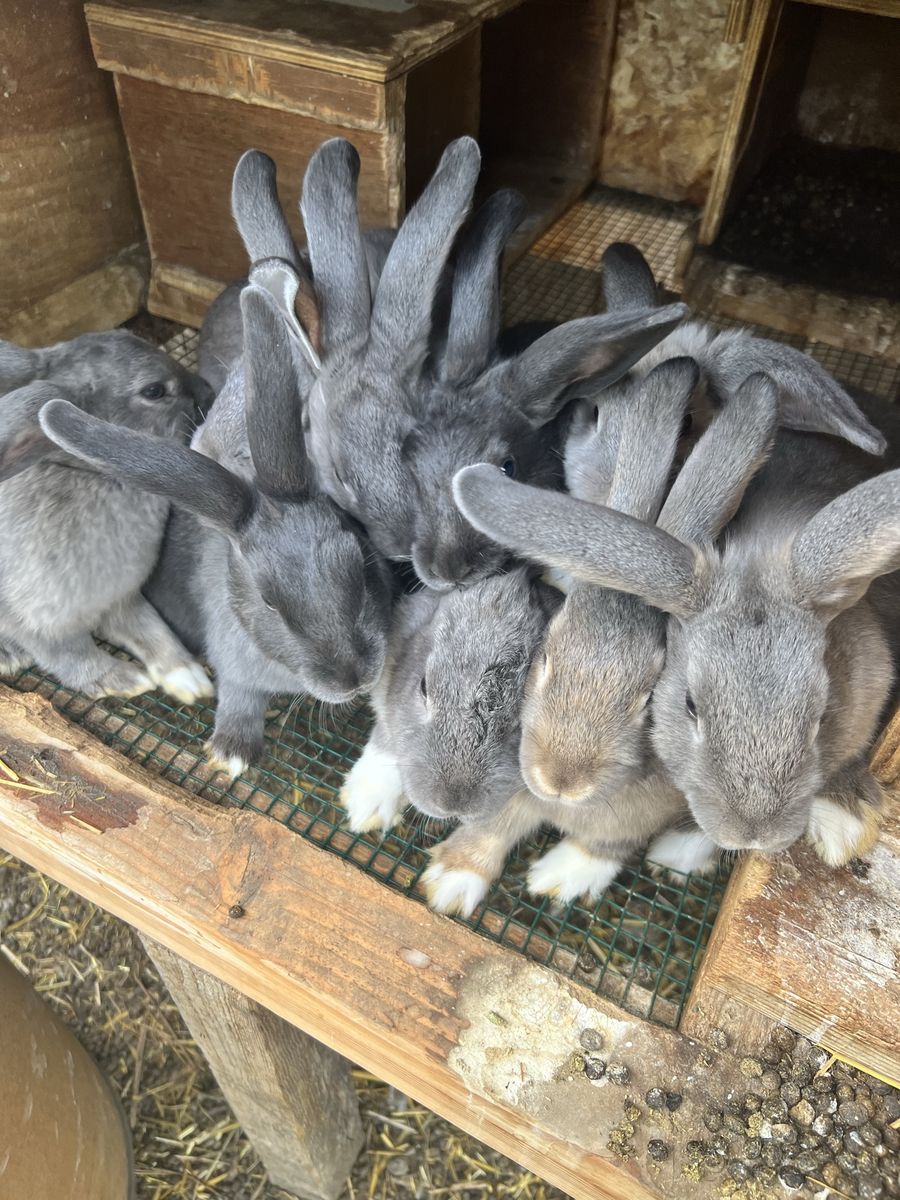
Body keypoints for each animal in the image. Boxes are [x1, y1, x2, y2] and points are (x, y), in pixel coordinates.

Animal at [40, 282, 393, 777]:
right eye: (269, 602)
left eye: (361, 563)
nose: (354, 679)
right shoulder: (234, 665)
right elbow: (240, 699)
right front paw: (233, 754)